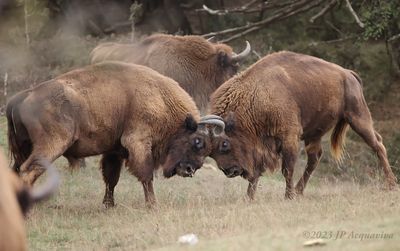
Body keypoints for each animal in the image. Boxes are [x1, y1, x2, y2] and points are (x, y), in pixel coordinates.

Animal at [7, 61, 222, 207]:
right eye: (197, 141)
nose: (189, 170)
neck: (161, 98)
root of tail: (25, 95)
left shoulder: (114, 150)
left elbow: (111, 178)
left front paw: (108, 205)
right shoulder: (137, 143)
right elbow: (146, 175)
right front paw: (153, 205)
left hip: (24, 149)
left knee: (16, 171)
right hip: (51, 146)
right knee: (27, 172)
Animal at [208, 51, 398, 200]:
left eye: (224, 143)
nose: (229, 170)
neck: (256, 96)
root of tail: (348, 74)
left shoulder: (289, 137)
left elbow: (287, 169)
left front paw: (288, 196)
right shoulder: (263, 145)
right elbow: (257, 172)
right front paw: (249, 197)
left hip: (358, 117)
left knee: (378, 145)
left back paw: (392, 185)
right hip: (315, 132)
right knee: (315, 157)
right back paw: (300, 191)